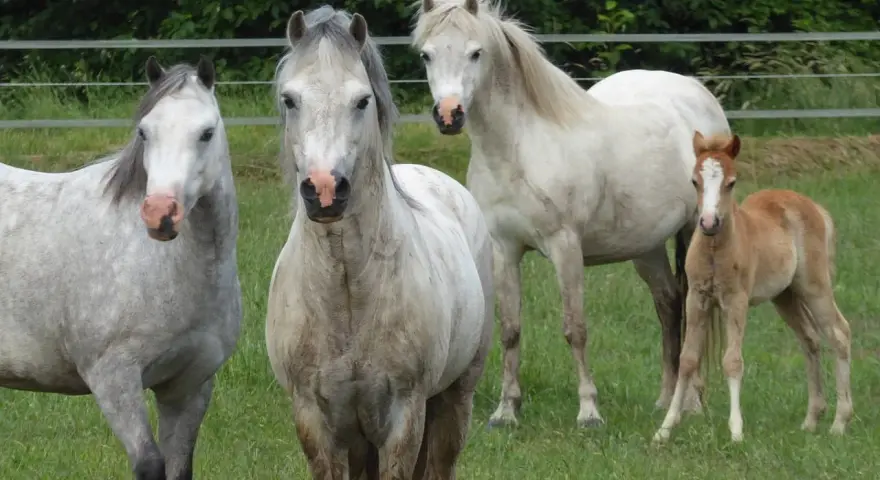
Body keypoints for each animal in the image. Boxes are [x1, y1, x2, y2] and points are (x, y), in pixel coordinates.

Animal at [0, 57, 241, 479]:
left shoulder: (190, 386)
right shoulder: (114, 380)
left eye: (206, 133)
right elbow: (149, 464)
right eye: (144, 132)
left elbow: (179, 466)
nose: (160, 214)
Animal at [265, 6, 494, 479]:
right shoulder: (314, 420)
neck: (347, 292)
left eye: (362, 100)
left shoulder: (403, 417)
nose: (325, 190)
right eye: (290, 99)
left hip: (455, 399)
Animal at [412, 0, 730, 427]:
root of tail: (699, 95)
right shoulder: (503, 249)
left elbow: (574, 328)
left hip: (698, 229)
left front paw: (589, 411)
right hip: (646, 246)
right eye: (426, 55)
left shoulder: (565, 246)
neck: (520, 148)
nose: (449, 115)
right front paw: (506, 411)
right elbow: (510, 329)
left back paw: (692, 402)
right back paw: (665, 399)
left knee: (697, 307)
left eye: (476, 53)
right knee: (668, 301)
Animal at [653, 132, 853, 443]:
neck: (715, 250)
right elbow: (687, 359)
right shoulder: (696, 299)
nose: (708, 222)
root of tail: (813, 206)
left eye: (731, 182)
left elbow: (733, 361)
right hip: (785, 295)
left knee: (839, 334)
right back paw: (811, 419)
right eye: (695, 181)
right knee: (810, 339)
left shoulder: (736, 301)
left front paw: (736, 431)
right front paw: (664, 429)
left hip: (814, 286)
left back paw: (839, 423)